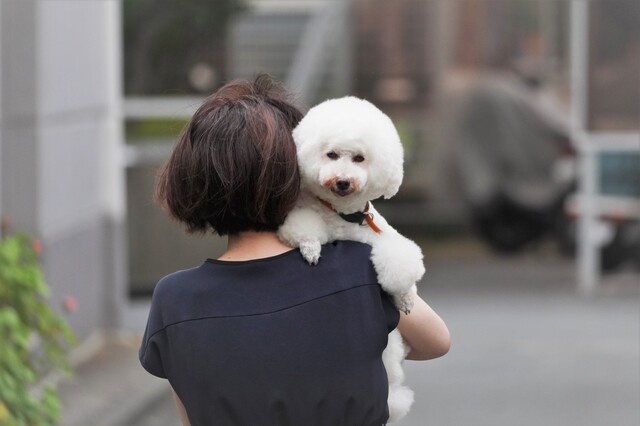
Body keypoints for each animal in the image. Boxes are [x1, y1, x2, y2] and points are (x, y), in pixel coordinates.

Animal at [278, 96, 424, 422]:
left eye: (359, 158)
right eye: (331, 154)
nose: (343, 181)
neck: (343, 215)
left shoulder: (381, 238)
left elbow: (399, 266)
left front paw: (405, 296)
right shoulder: (302, 215)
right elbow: (305, 230)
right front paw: (310, 248)